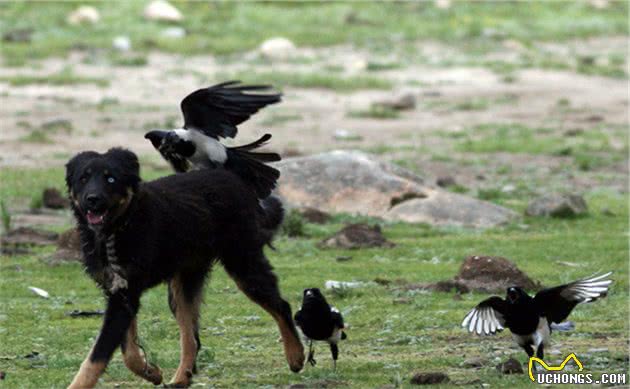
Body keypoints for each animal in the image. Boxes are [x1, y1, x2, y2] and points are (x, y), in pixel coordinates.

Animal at [65, 147, 304, 386]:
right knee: (192, 338)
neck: (119, 227)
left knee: (282, 306)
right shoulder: (117, 291)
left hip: (243, 265)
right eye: (83, 179)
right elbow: (129, 351)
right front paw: (151, 372)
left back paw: (296, 355)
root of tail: (233, 177)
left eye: (111, 179)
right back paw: (181, 378)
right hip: (183, 283)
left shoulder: (126, 293)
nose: (92, 199)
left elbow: (98, 355)